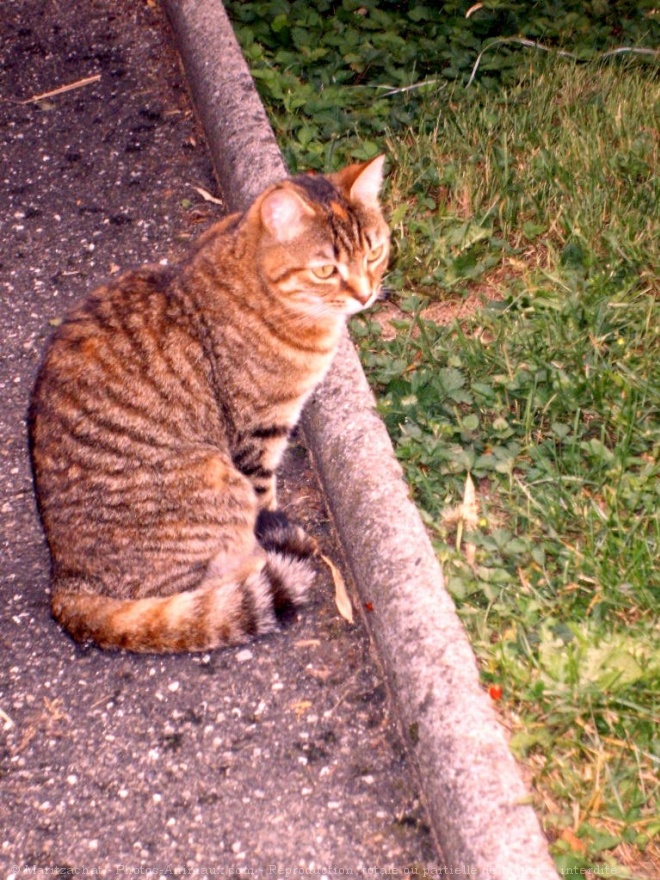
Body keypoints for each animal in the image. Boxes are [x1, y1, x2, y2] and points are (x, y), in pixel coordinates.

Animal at [28, 156, 392, 652]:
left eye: (374, 253)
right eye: (325, 271)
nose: (365, 294)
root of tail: (65, 583)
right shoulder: (257, 432)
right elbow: (265, 498)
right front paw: (272, 536)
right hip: (216, 478)